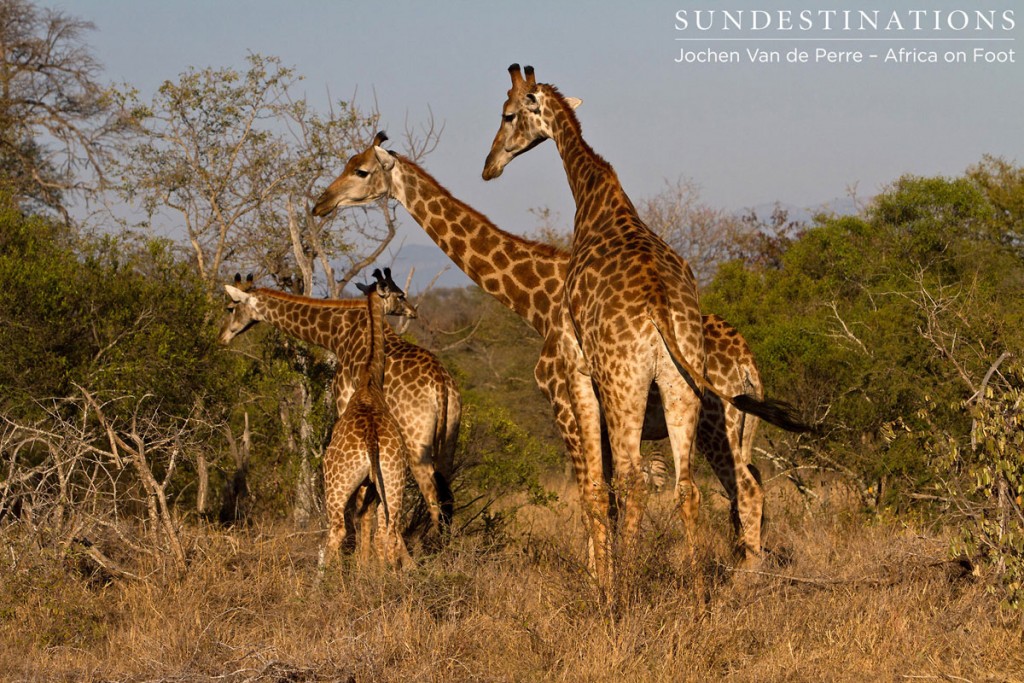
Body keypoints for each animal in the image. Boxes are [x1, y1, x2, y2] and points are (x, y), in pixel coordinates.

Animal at [220, 272, 460, 544]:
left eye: (230, 308)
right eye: (400, 295)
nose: (222, 337)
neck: (336, 334)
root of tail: (440, 384)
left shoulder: (344, 400)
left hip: (415, 442)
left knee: (431, 495)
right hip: (449, 436)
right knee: (446, 492)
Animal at [311, 133, 782, 565]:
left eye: (361, 171)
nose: (321, 203)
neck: (535, 301)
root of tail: (748, 366)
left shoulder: (563, 400)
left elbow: (594, 496)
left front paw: (599, 580)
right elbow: (606, 499)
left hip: (714, 424)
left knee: (745, 490)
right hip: (736, 429)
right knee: (750, 487)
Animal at [479, 65, 806, 589]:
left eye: (507, 114)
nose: (489, 166)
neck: (595, 196)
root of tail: (657, 308)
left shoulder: (578, 366)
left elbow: (602, 486)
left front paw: (603, 580)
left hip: (625, 385)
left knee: (637, 481)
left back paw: (627, 587)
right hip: (681, 386)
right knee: (690, 488)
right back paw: (697, 587)